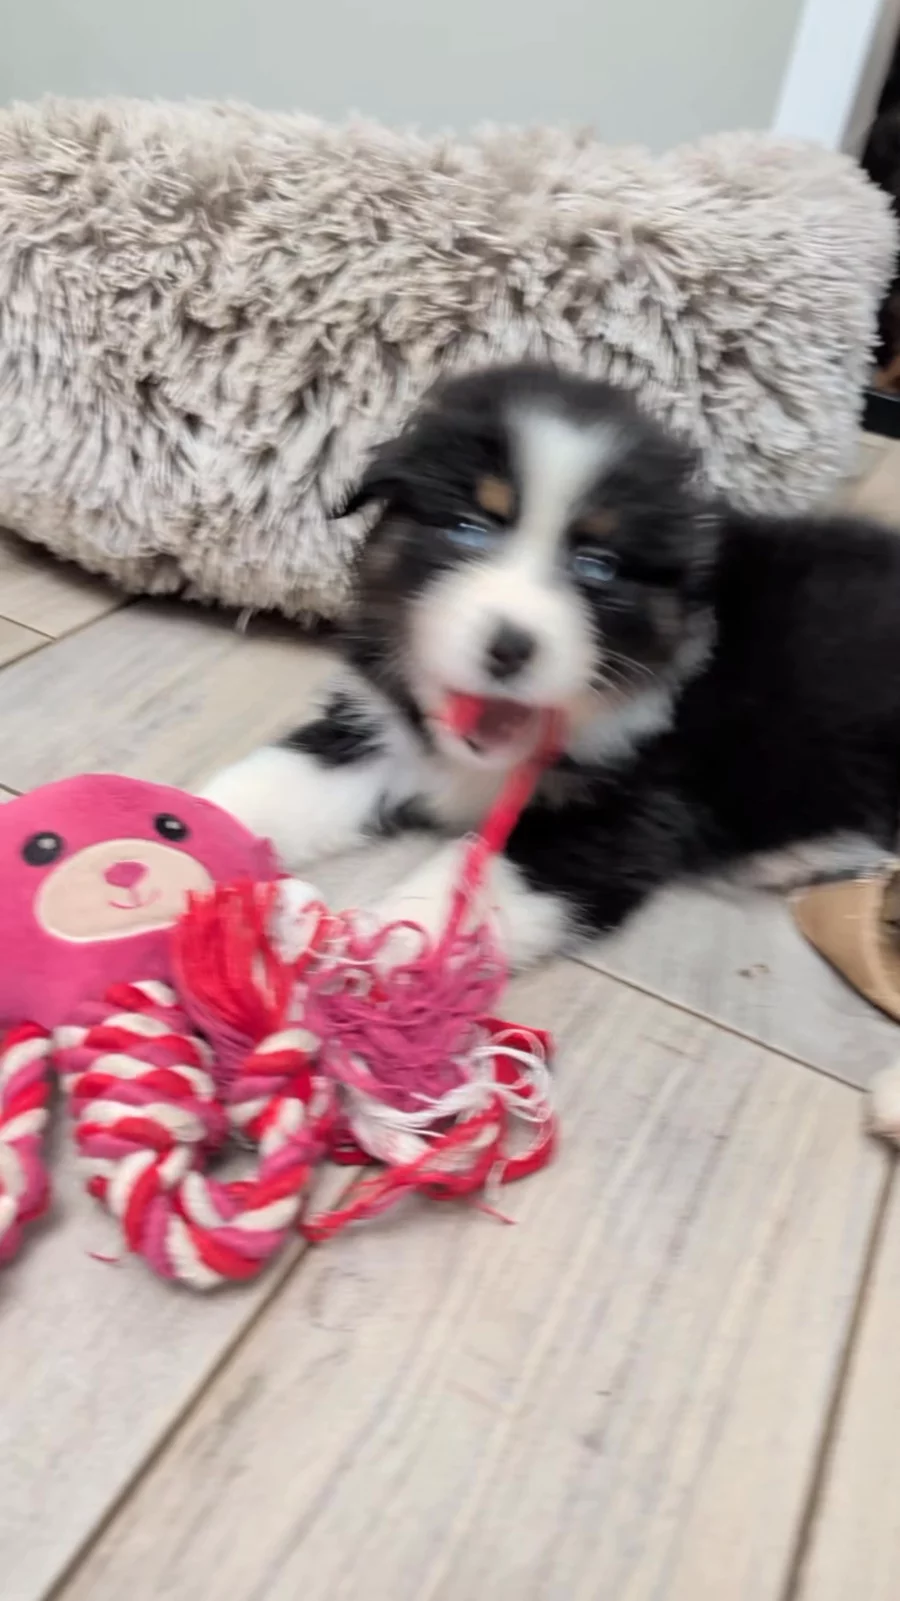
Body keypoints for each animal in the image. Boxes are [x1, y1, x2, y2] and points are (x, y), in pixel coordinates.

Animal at [203, 363, 900, 969]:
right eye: (469, 528)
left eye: (598, 565)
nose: (510, 647)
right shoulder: (379, 727)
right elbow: (272, 783)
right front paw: (187, 822)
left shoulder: (621, 815)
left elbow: (474, 880)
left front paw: (383, 952)